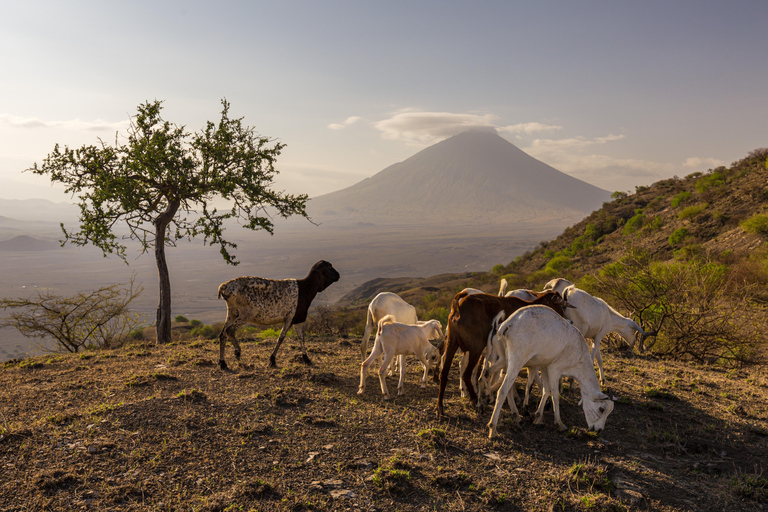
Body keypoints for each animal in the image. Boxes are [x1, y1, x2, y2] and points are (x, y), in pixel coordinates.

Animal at [438, 290, 568, 418]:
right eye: (560, 305)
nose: (565, 320)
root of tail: (459, 307)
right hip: (475, 349)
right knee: (466, 374)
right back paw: (476, 401)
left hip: (452, 343)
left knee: (444, 373)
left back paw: (440, 407)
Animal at [488, 306, 616, 438]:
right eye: (601, 409)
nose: (599, 430)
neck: (579, 353)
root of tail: (508, 323)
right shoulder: (555, 370)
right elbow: (555, 395)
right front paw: (559, 423)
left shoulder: (545, 367)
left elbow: (546, 390)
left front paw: (538, 418)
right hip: (517, 360)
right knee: (503, 390)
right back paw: (493, 428)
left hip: (506, 359)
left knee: (498, 379)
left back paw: (514, 414)